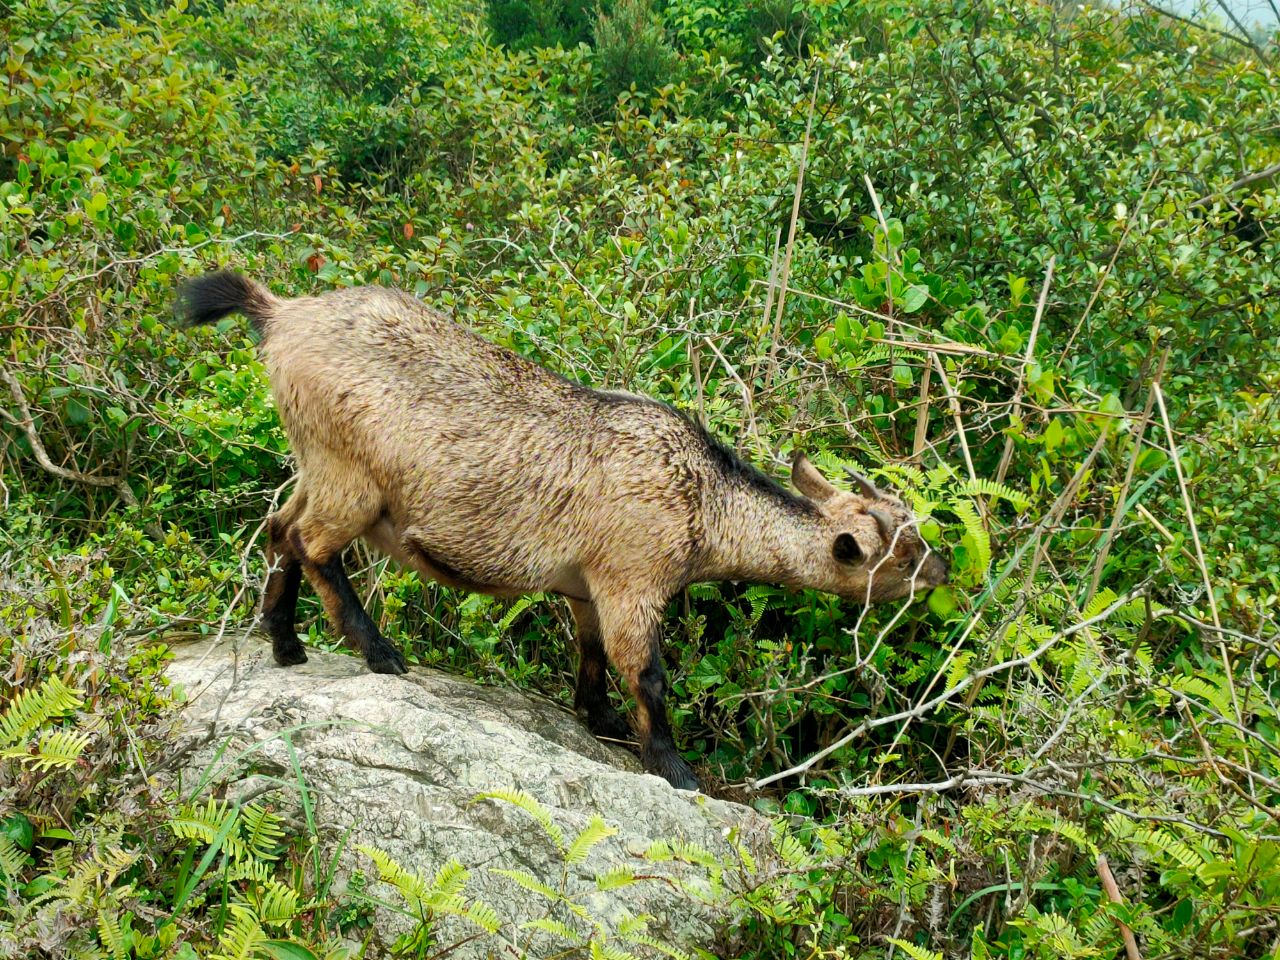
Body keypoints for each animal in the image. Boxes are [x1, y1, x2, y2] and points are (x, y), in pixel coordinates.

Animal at [175, 271, 947, 788]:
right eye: (903, 555)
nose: (946, 573)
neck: (704, 496)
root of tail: (279, 314)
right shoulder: (634, 578)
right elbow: (647, 673)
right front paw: (675, 768)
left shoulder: (585, 587)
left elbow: (591, 654)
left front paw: (598, 719)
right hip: (351, 478)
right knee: (313, 546)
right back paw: (379, 653)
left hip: (314, 463)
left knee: (279, 530)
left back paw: (285, 645)